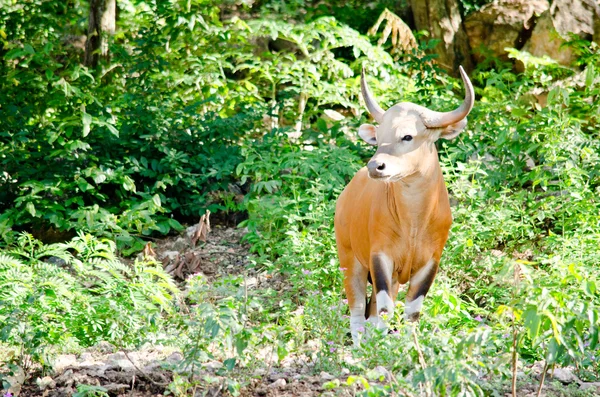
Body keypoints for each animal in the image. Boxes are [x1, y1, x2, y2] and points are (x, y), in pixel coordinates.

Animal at [332, 65, 474, 340]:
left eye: (408, 136)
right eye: (378, 137)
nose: (375, 166)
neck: (414, 223)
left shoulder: (430, 262)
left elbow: (412, 312)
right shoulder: (380, 257)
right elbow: (385, 310)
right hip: (349, 259)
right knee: (358, 313)